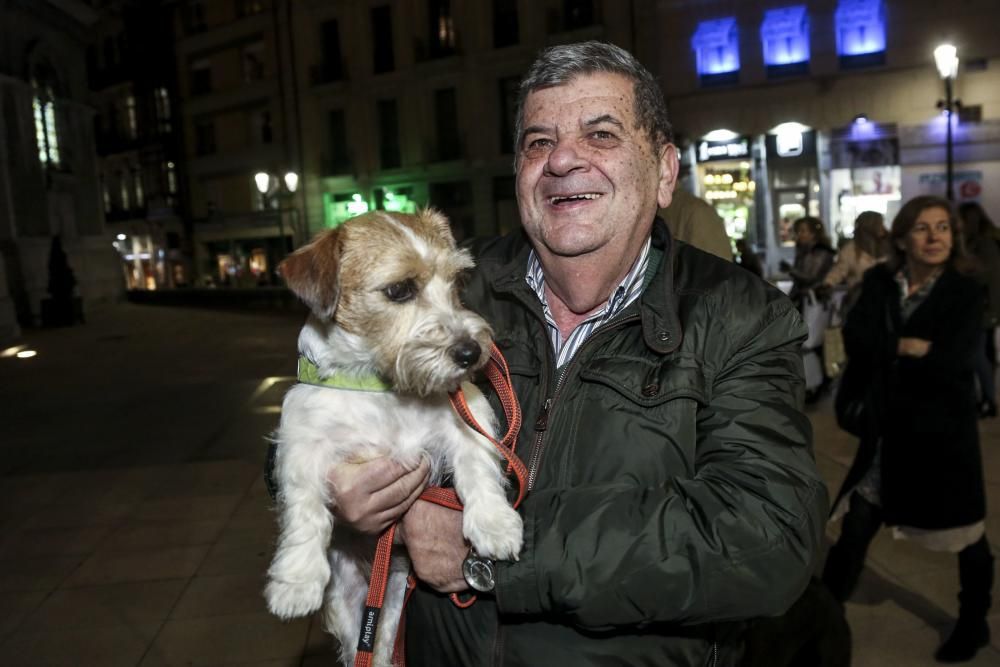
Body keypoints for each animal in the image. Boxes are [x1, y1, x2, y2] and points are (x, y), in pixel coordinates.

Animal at [266, 210, 524, 667]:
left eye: (456, 283)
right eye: (400, 290)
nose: (471, 353)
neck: (381, 386)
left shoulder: (467, 414)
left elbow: (478, 469)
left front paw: (494, 524)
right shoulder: (300, 444)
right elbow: (305, 510)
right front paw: (295, 581)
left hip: (391, 610)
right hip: (352, 612)